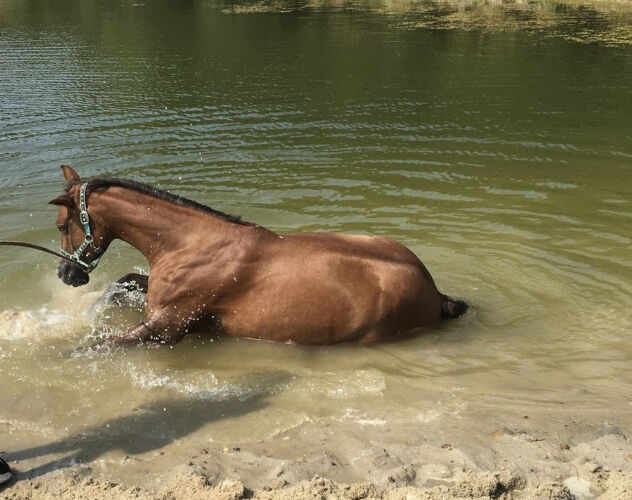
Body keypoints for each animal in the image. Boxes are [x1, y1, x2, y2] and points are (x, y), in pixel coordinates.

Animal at [49, 166, 466, 346]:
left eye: (61, 225)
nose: (67, 275)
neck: (192, 244)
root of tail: (435, 293)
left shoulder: (166, 328)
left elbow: (90, 348)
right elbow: (121, 285)